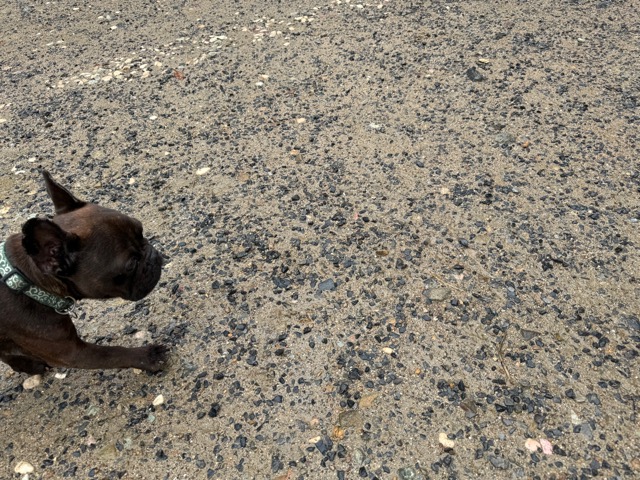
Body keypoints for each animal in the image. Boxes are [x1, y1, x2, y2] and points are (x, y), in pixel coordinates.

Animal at [0, 171, 167, 374]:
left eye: (140, 229)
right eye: (130, 265)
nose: (153, 255)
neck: (26, 282)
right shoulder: (72, 353)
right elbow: (112, 353)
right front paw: (148, 356)